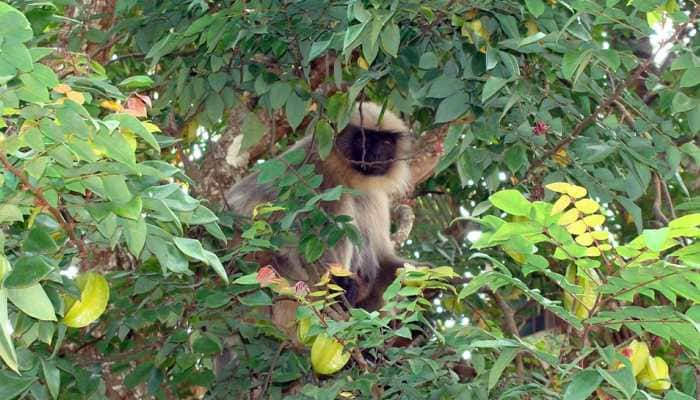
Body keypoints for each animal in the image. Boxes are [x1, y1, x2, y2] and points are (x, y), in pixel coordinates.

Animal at [227, 101, 416, 310]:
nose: (376, 154)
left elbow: (383, 256)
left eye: (385, 142)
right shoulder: (313, 171)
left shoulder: (375, 196)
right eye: (363, 139)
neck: (348, 176)